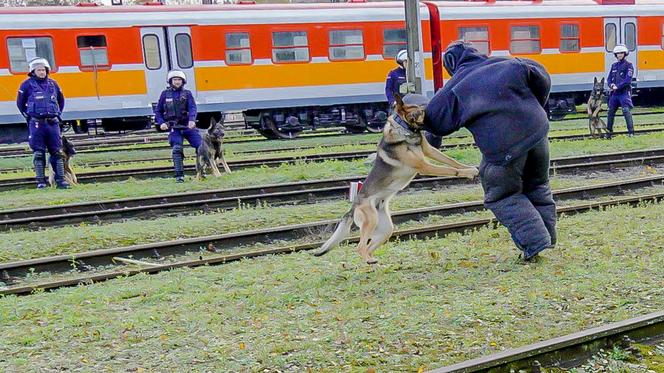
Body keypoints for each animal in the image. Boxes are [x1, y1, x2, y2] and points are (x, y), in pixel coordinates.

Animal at [314, 94, 480, 264]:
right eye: (421, 111)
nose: (435, 112)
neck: (405, 129)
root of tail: (354, 206)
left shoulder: (430, 151)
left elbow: (452, 162)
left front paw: (470, 168)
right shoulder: (423, 165)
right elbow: (451, 169)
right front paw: (467, 173)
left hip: (386, 229)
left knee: (369, 247)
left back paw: (374, 263)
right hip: (370, 220)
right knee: (360, 247)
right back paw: (369, 260)